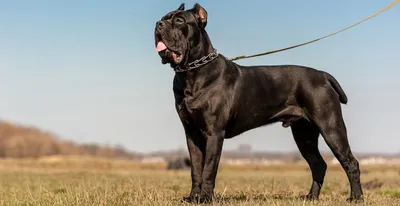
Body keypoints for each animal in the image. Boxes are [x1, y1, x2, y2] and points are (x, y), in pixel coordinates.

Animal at [153, 2, 362, 203]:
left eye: (179, 20)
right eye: (164, 18)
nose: (158, 24)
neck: (191, 72)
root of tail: (323, 75)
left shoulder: (214, 133)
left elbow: (209, 169)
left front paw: (204, 198)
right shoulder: (192, 133)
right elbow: (196, 168)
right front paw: (193, 198)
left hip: (331, 127)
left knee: (350, 162)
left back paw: (356, 197)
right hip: (304, 134)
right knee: (318, 164)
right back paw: (311, 196)